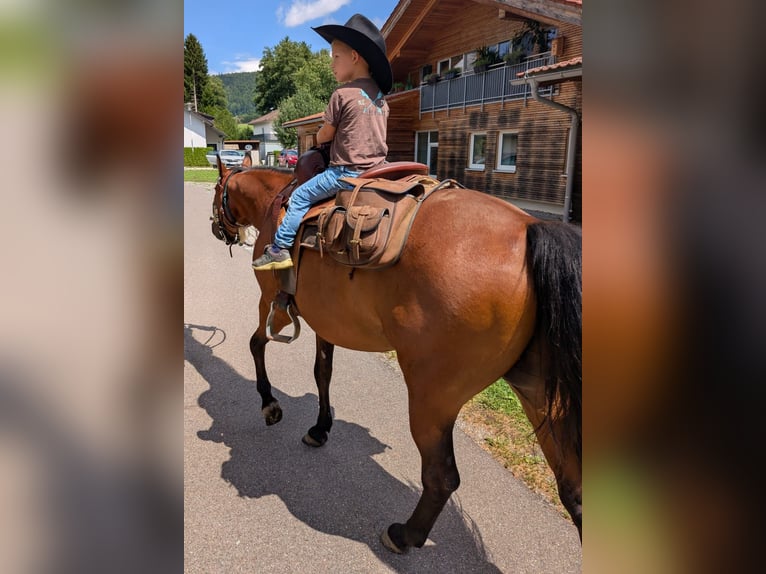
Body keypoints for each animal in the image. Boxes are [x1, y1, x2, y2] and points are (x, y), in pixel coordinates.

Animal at [209, 153, 582, 553]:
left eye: (217, 192)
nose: (217, 229)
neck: (273, 201)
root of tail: (529, 229)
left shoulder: (270, 302)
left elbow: (256, 345)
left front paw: (270, 405)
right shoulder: (327, 321)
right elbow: (322, 372)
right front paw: (320, 428)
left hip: (432, 398)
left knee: (442, 477)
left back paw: (405, 534)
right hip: (541, 396)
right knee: (574, 492)